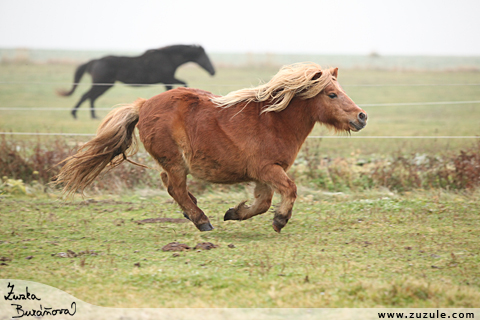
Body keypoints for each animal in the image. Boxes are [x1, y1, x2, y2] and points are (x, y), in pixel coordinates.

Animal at [54, 62, 368, 232]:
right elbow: (289, 191)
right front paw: (280, 220)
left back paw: (193, 211)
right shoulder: (268, 169)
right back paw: (201, 220)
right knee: (175, 187)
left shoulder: (264, 175)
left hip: (173, 163)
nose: (361, 117)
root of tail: (142, 105)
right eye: (332, 94)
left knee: (171, 186)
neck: (273, 120)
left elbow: (263, 203)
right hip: (175, 162)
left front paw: (234, 213)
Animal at [58, 44, 216, 119]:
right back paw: (77, 115)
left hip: (105, 85)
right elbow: (183, 83)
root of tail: (94, 61)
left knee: (91, 97)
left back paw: (92, 116)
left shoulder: (167, 80)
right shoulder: (167, 79)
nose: (213, 71)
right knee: (87, 96)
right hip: (102, 84)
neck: (169, 58)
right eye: (204, 56)